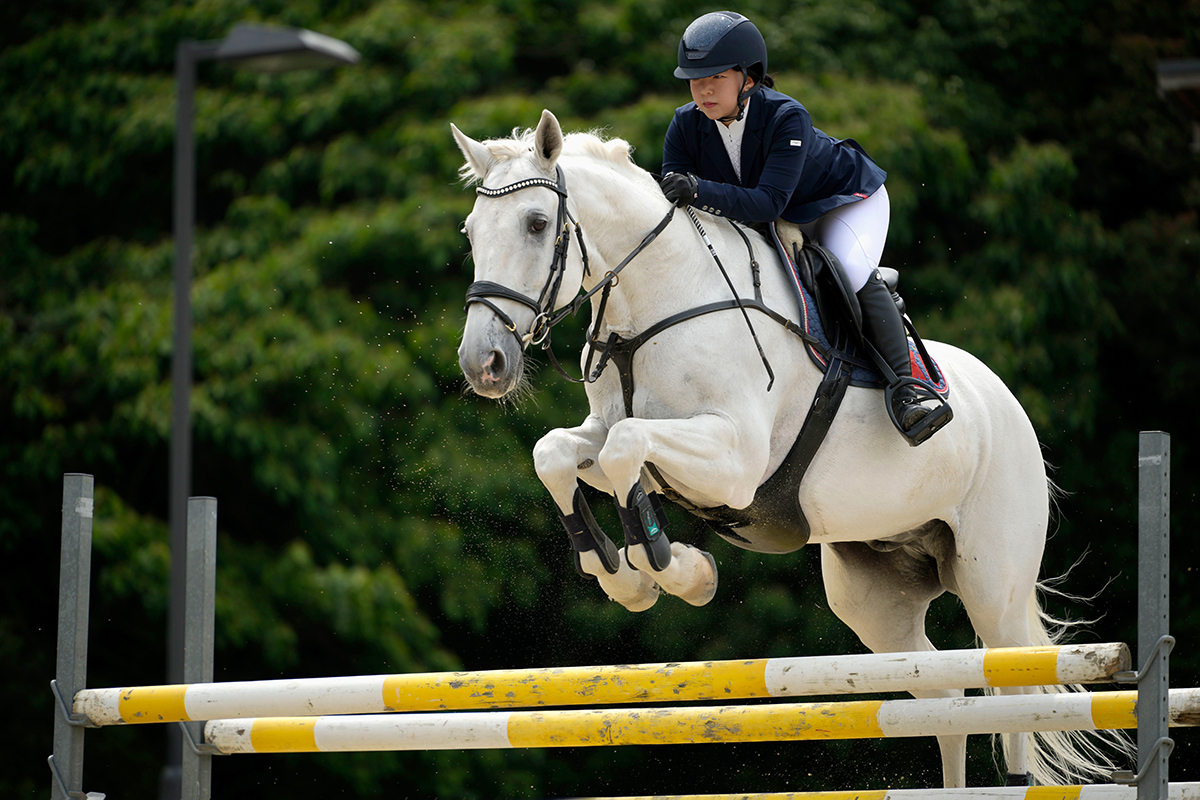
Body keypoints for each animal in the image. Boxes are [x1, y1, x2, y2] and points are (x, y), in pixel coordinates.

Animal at [450, 109, 1127, 788]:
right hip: (875, 595)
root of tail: (1007, 404)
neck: (657, 302)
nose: (484, 364)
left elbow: (625, 449)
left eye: (537, 224)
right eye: (471, 233)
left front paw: (678, 571)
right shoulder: (612, 435)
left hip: (994, 585)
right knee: (943, 695)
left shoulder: (735, 460)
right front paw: (627, 577)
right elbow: (560, 454)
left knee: (1015, 691)